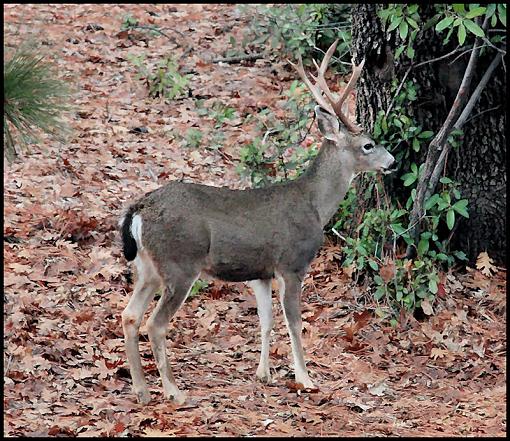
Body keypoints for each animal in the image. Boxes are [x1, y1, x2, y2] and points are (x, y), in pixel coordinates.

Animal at [118, 39, 394, 404]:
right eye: (368, 145)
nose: (392, 161)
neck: (314, 204)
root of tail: (139, 209)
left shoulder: (259, 273)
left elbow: (266, 320)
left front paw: (263, 373)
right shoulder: (291, 264)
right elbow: (294, 322)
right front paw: (305, 378)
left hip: (148, 267)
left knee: (129, 315)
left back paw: (141, 390)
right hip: (180, 263)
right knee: (155, 324)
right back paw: (173, 391)